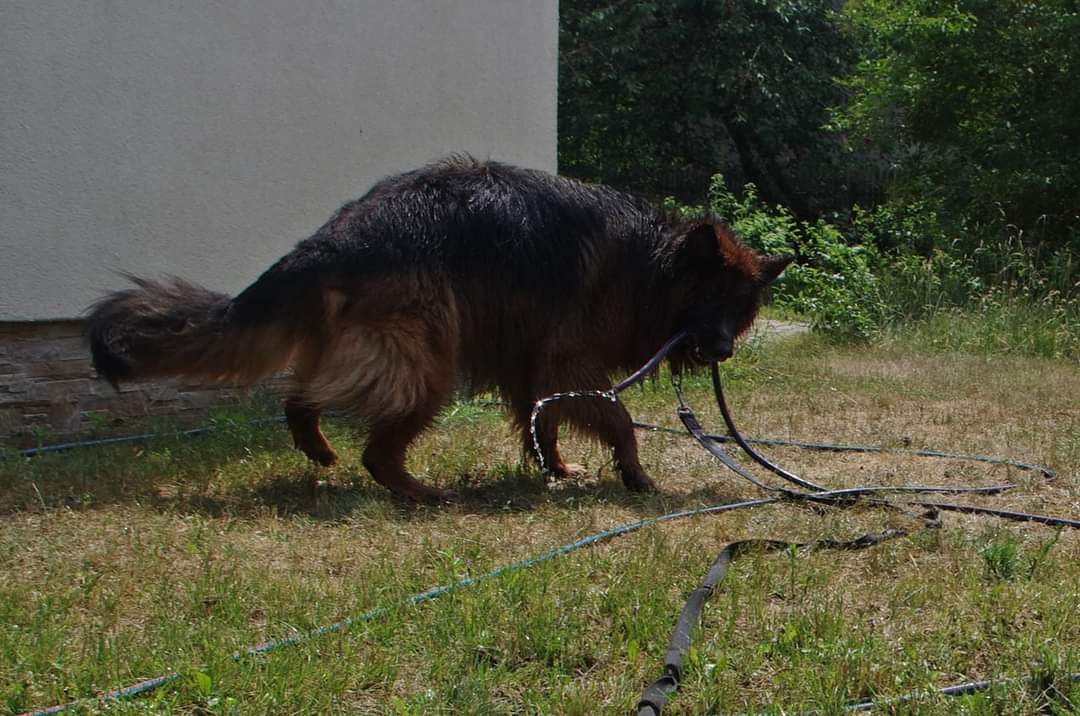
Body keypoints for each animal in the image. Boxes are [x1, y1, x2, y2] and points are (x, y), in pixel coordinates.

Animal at [87, 156, 791, 501]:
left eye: (740, 312)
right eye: (711, 301)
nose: (722, 350)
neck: (647, 263)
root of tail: (332, 240)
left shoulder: (530, 364)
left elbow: (541, 420)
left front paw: (553, 467)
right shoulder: (568, 359)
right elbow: (614, 419)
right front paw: (635, 475)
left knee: (303, 394)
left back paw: (315, 441)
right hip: (427, 364)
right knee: (375, 447)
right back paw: (417, 492)